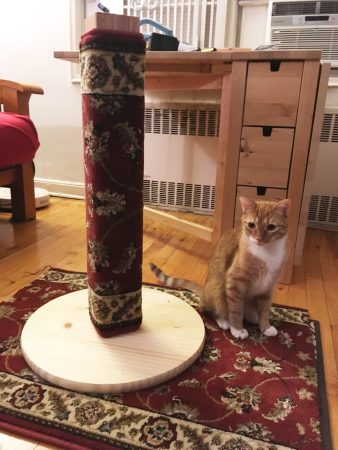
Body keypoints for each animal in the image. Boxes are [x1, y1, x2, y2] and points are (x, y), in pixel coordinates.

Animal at [150, 195, 290, 340]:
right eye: (252, 225)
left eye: (271, 227)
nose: (259, 238)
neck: (266, 252)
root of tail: (204, 291)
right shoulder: (235, 283)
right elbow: (236, 310)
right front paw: (237, 329)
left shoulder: (267, 287)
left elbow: (265, 310)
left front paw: (265, 327)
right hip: (218, 288)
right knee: (209, 309)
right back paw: (224, 321)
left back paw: (252, 316)